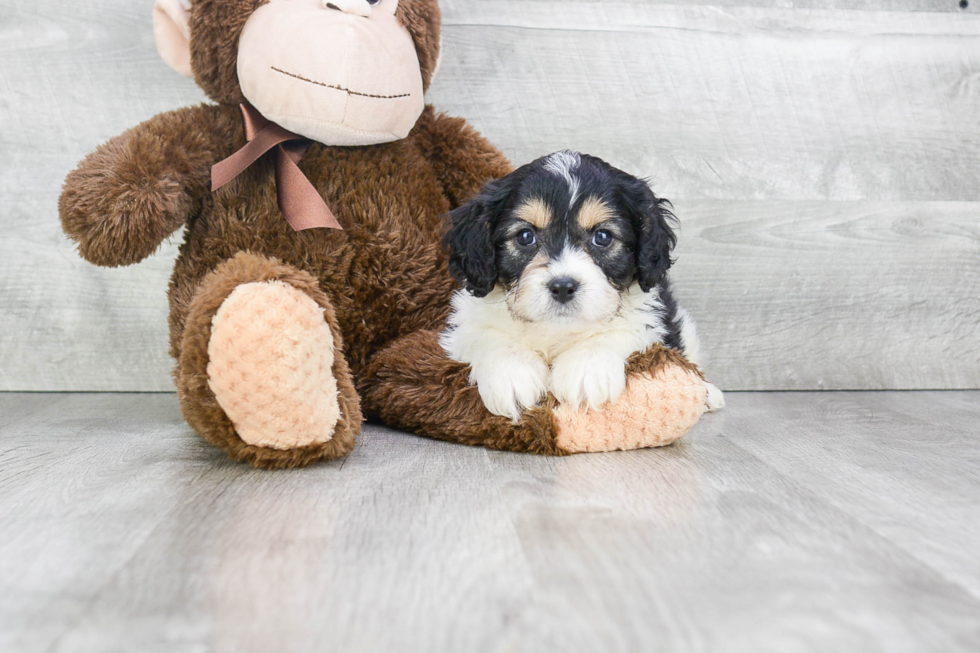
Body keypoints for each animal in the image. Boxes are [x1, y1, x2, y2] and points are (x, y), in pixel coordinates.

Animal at [440, 150, 724, 420]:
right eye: (525, 236)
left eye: (603, 237)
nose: (563, 287)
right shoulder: (463, 324)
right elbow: (488, 334)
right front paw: (512, 374)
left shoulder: (650, 316)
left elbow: (618, 331)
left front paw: (586, 370)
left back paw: (709, 393)